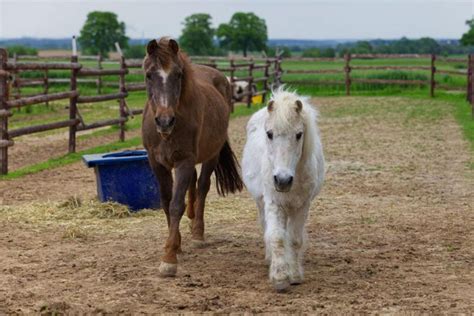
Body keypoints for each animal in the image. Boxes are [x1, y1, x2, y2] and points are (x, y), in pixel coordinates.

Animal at [141, 37, 243, 276]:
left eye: (178, 74)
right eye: (149, 74)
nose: (165, 121)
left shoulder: (184, 161)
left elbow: (176, 204)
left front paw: (169, 257)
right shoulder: (157, 163)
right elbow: (166, 201)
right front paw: (176, 244)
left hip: (211, 155)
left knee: (203, 185)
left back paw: (197, 232)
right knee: (194, 184)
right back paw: (191, 217)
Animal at [243, 87, 324, 292]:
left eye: (299, 134)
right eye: (269, 134)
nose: (282, 180)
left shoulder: (302, 205)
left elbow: (294, 240)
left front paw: (294, 275)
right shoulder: (273, 203)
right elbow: (277, 237)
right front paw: (279, 278)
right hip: (261, 202)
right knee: (266, 228)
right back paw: (270, 259)